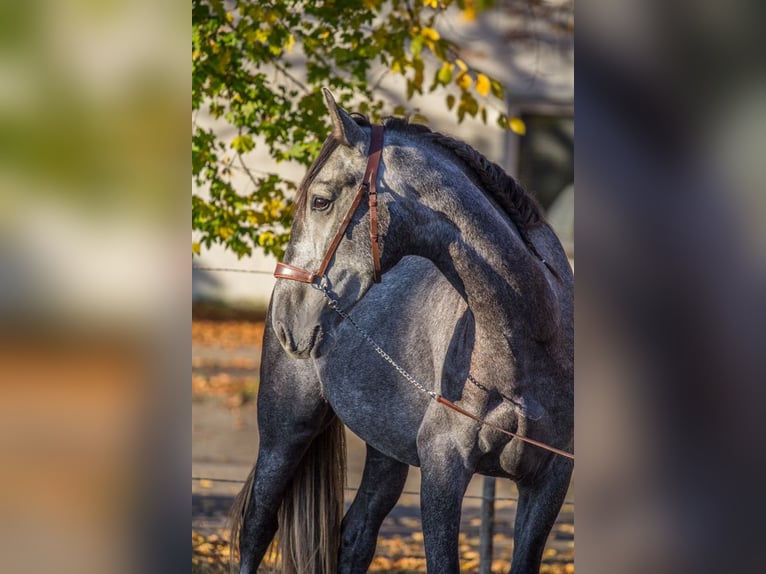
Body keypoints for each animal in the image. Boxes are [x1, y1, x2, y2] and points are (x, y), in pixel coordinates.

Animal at [234, 92, 576, 572]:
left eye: (320, 201)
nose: (288, 319)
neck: (529, 340)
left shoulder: (550, 483)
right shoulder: (442, 471)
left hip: (386, 451)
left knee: (355, 536)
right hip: (285, 432)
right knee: (257, 529)